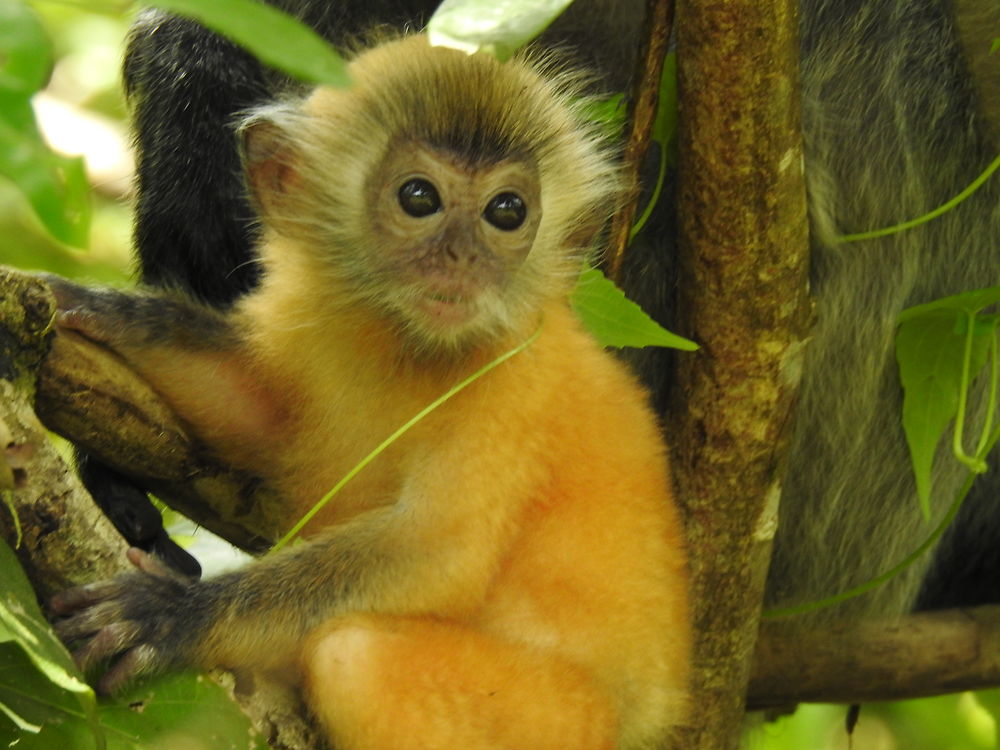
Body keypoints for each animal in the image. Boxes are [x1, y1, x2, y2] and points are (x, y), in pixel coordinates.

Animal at [45, 35, 688, 750]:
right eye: (419, 197)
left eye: (506, 212)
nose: (463, 258)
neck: (403, 345)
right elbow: (251, 407)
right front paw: (87, 309)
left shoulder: (513, 378)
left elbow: (438, 554)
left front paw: (176, 617)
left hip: (568, 722)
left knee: (354, 656)